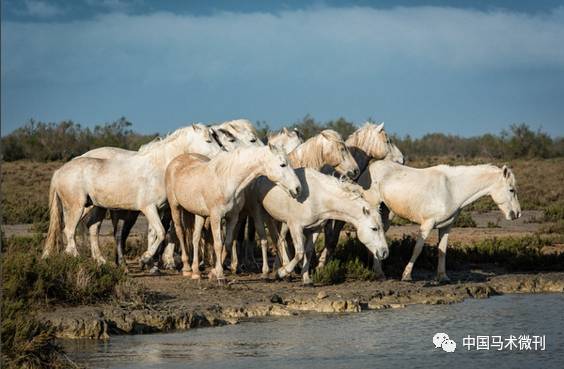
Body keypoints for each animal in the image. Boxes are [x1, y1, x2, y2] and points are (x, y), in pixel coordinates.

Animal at [41, 125, 224, 264]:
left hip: (96, 207)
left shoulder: (161, 209)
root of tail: (59, 171)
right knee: (69, 230)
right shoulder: (149, 208)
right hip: (76, 207)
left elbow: (159, 234)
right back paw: (75, 256)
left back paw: (100, 260)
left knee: (91, 228)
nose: (221, 155)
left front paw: (149, 261)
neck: (159, 167)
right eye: (208, 140)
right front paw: (145, 258)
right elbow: (160, 232)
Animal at [165, 144, 302, 278]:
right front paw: (220, 274)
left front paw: (214, 271)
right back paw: (187, 268)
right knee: (180, 233)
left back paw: (196, 272)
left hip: (200, 214)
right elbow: (218, 244)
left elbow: (228, 243)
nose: (298, 188)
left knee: (195, 238)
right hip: (175, 207)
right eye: (282, 164)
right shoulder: (216, 217)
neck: (228, 180)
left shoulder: (233, 217)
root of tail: (175, 161)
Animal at [254, 168, 390, 284]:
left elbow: (308, 252)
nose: (384, 253)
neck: (318, 197)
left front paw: (306, 279)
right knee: (265, 241)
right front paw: (282, 272)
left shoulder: (315, 229)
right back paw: (268, 273)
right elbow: (300, 253)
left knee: (279, 240)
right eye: (374, 228)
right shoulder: (296, 227)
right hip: (259, 213)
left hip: (277, 220)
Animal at [360, 161, 524, 282]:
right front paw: (406, 275)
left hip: (386, 214)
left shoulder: (446, 227)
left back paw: (377, 270)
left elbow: (442, 251)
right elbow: (417, 249)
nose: (517, 214)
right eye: (511, 190)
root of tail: (370, 168)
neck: (452, 189)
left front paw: (442, 277)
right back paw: (379, 272)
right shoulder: (427, 224)